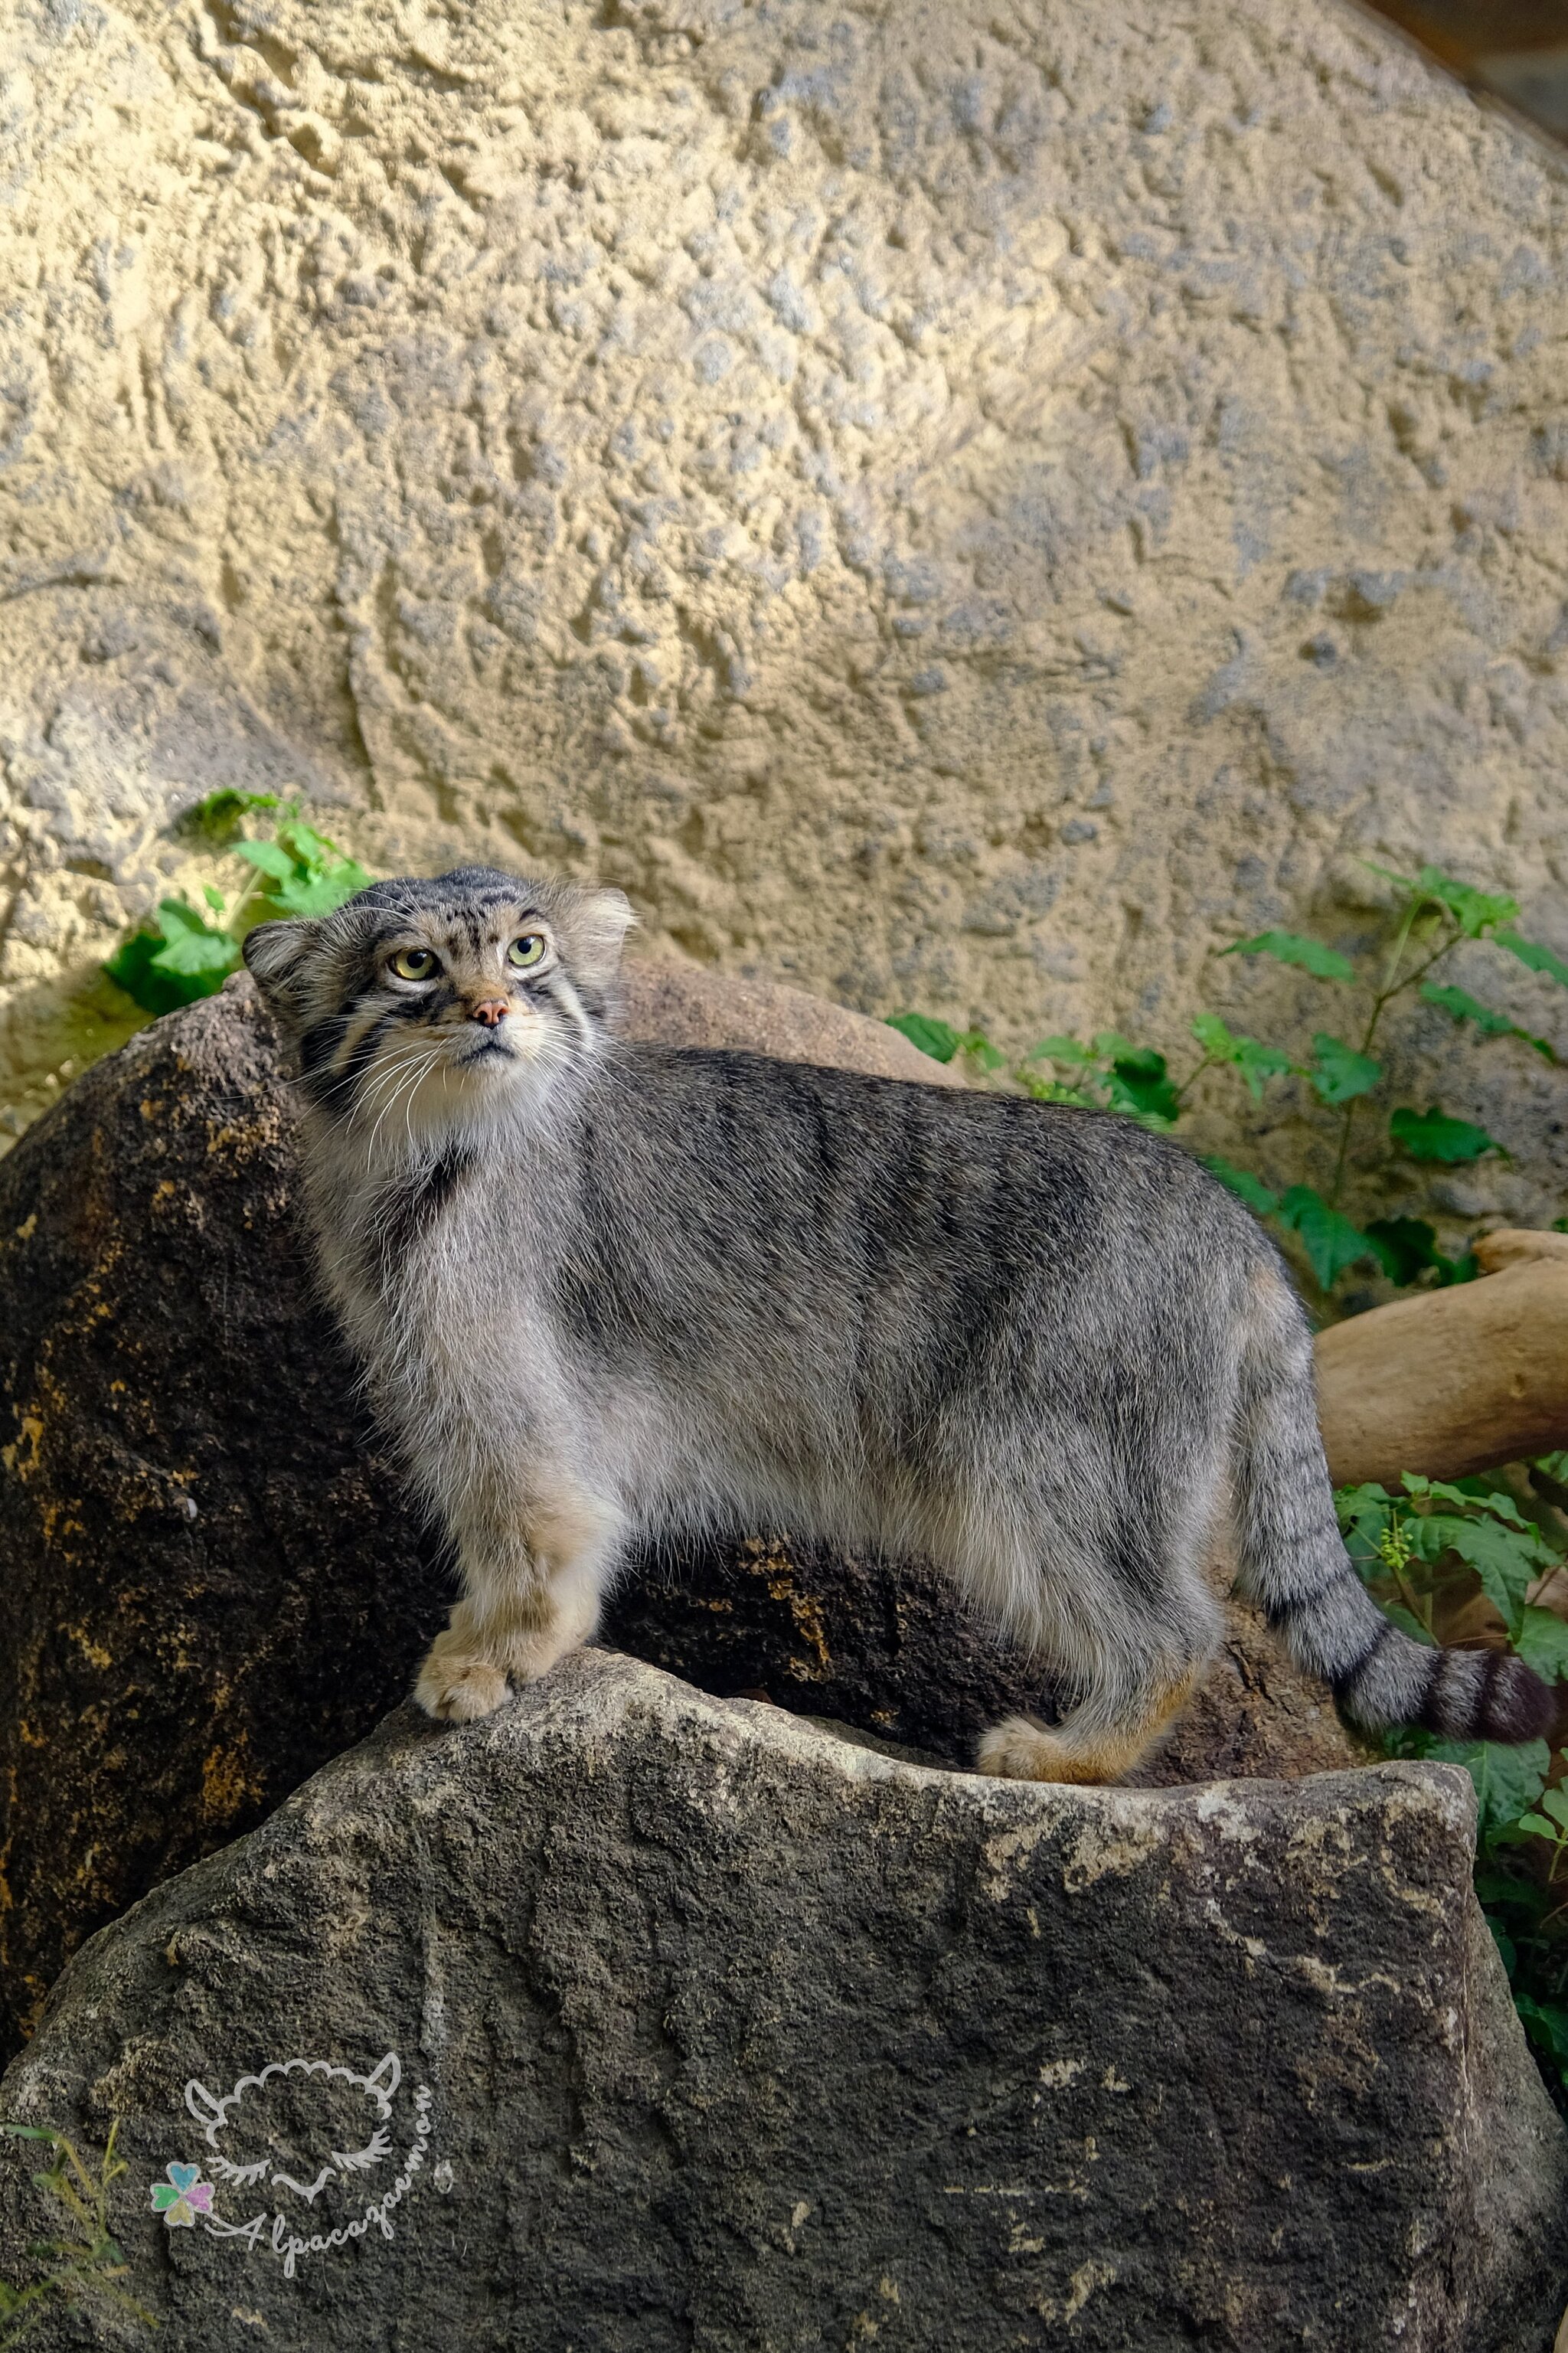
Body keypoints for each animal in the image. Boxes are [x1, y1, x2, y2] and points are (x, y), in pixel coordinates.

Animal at [244, 865, 1553, 1779]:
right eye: (413, 965)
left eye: (527, 949)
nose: (488, 1007)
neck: (427, 1156)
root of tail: (1230, 1218)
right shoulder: (444, 1385)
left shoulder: (512, 1392)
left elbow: (538, 1534)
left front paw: (494, 1655)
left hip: (1048, 1453)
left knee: (1181, 1628)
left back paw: (1073, 1755)